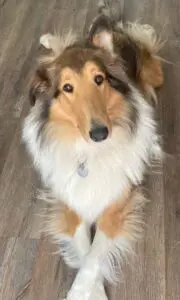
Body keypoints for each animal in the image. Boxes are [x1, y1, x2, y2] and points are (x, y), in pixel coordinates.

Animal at [22, 2, 163, 300]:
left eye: (99, 79)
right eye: (67, 88)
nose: (100, 133)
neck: (91, 153)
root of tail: (111, 28)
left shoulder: (117, 203)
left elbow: (94, 258)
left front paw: (83, 291)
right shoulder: (71, 203)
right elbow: (85, 250)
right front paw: (94, 292)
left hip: (153, 75)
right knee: (58, 47)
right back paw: (48, 40)